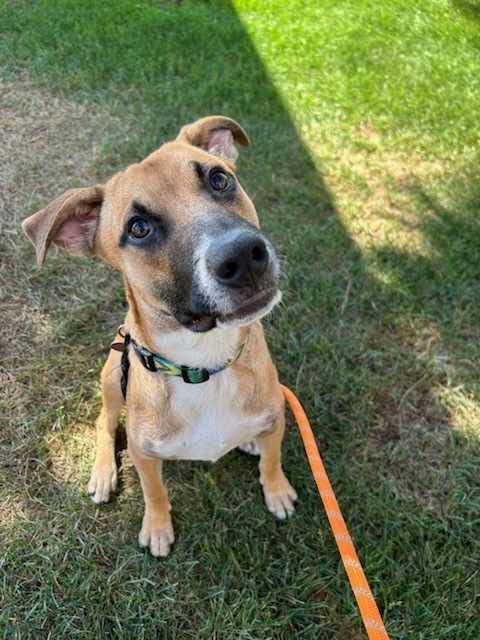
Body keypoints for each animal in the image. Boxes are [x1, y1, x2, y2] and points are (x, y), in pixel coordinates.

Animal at [24, 117, 298, 556]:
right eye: (139, 228)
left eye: (219, 179)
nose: (242, 256)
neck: (204, 365)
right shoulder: (145, 453)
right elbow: (154, 491)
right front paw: (157, 527)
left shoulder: (276, 419)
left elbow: (271, 460)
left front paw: (276, 491)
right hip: (111, 378)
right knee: (103, 422)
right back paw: (103, 474)